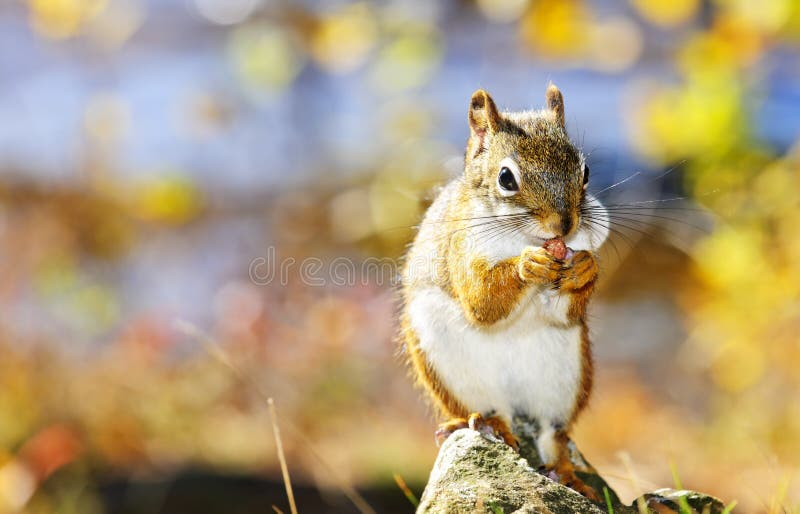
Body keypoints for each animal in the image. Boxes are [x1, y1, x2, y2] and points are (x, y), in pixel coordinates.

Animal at [400, 84, 609, 501]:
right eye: (507, 178)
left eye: (586, 172)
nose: (563, 226)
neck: (522, 238)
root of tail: (516, 406)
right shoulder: (462, 248)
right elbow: (482, 302)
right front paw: (528, 265)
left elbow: (563, 309)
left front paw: (584, 269)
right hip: (452, 366)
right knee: (490, 411)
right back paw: (490, 424)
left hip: (565, 375)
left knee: (553, 435)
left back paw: (565, 472)